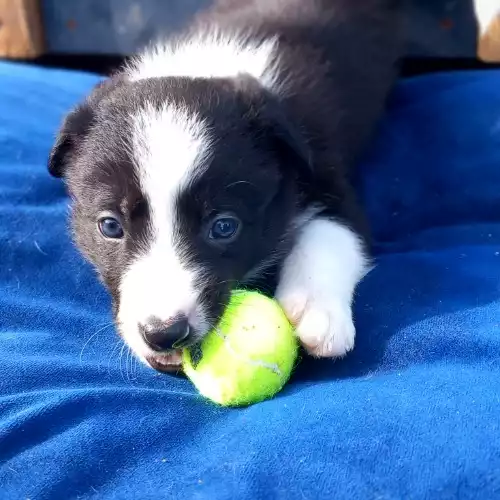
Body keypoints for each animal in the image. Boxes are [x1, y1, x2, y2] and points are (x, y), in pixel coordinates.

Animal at [48, 0, 404, 374]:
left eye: (223, 227)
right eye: (110, 226)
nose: (164, 334)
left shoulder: (327, 173)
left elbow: (332, 233)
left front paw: (315, 308)